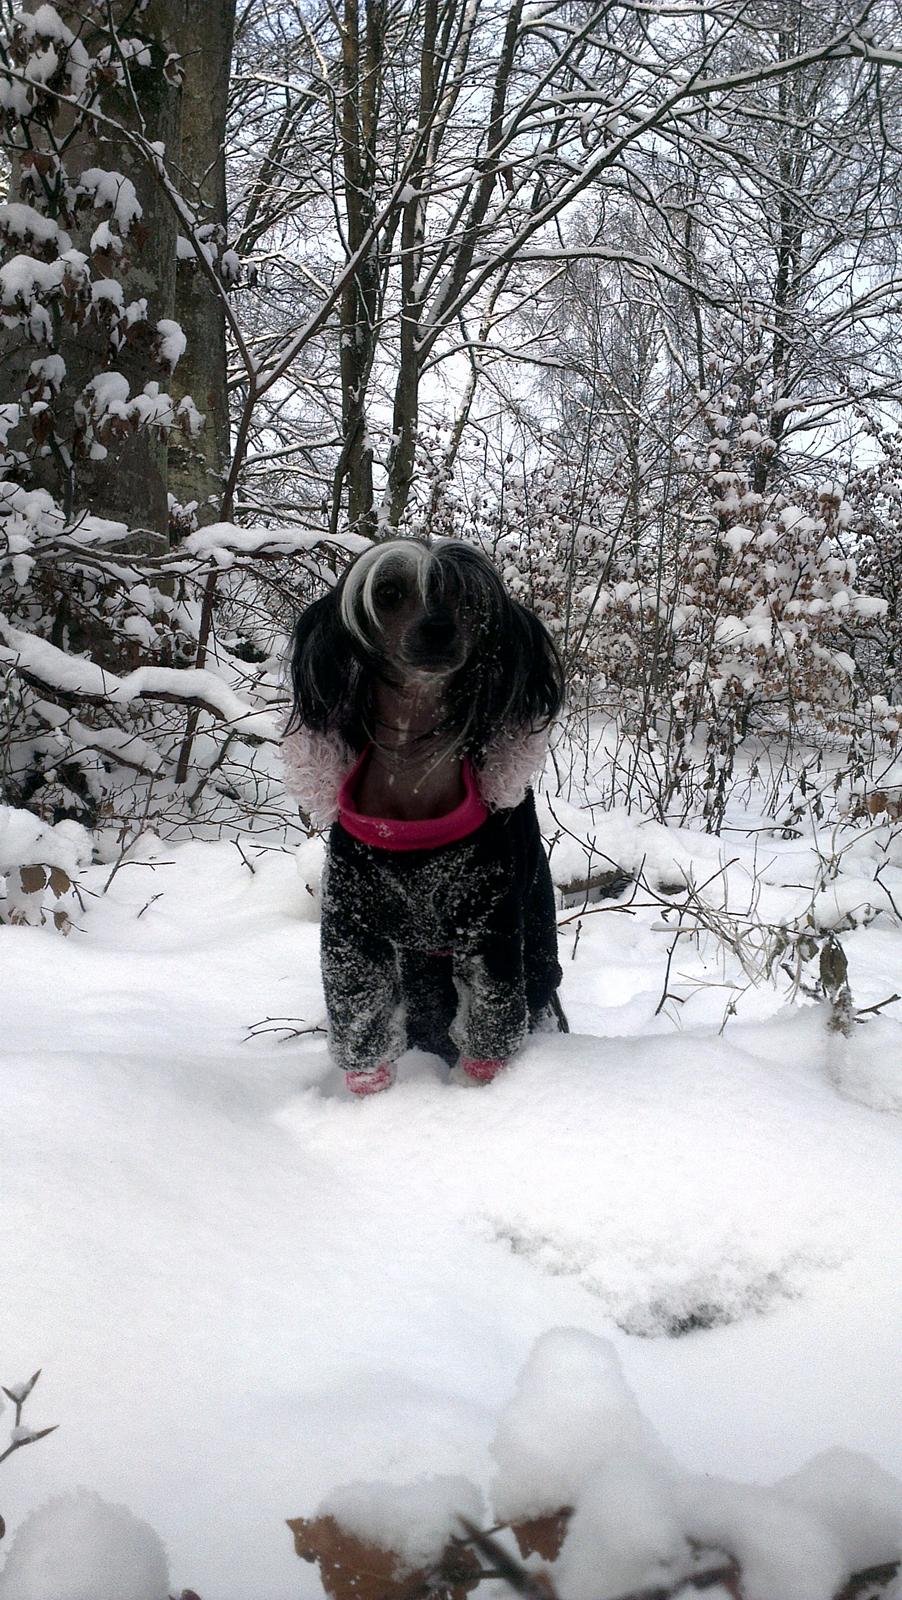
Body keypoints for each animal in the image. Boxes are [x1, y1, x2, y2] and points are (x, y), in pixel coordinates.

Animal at [283, 534, 562, 1088]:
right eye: (389, 592)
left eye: (467, 598)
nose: (438, 628)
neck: (410, 788)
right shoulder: (352, 929)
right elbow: (360, 1020)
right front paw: (371, 1093)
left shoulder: (491, 926)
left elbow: (491, 1020)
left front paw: (474, 1089)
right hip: (420, 970)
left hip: (536, 944)